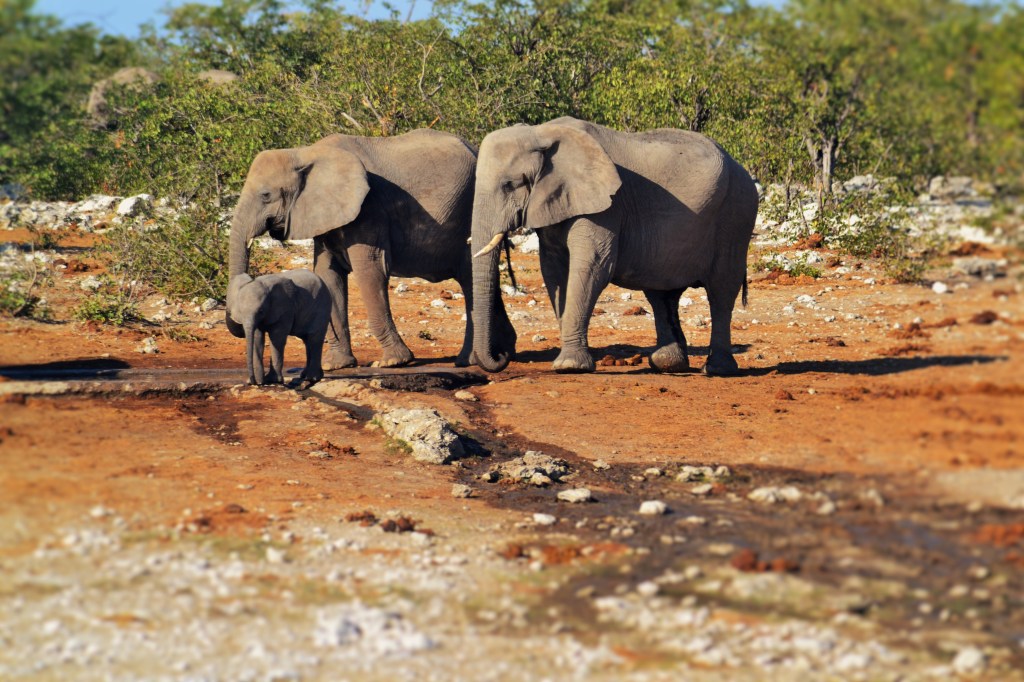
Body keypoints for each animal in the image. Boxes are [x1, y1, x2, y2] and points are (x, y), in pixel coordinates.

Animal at [225, 129, 515, 369]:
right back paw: (503, 353)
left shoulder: (369, 209)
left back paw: (469, 360)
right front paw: (336, 365)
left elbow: (370, 271)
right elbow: (329, 276)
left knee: (469, 280)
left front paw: (393, 362)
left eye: (266, 195)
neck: (305, 152)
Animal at [470, 117, 758, 375]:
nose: (502, 356)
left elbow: (594, 266)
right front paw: (571, 360)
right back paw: (667, 364)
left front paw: (570, 366)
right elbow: (553, 272)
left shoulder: (606, 207)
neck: (540, 132)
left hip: (737, 212)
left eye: (511, 184)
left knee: (721, 289)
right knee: (662, 293)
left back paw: (718, 369)